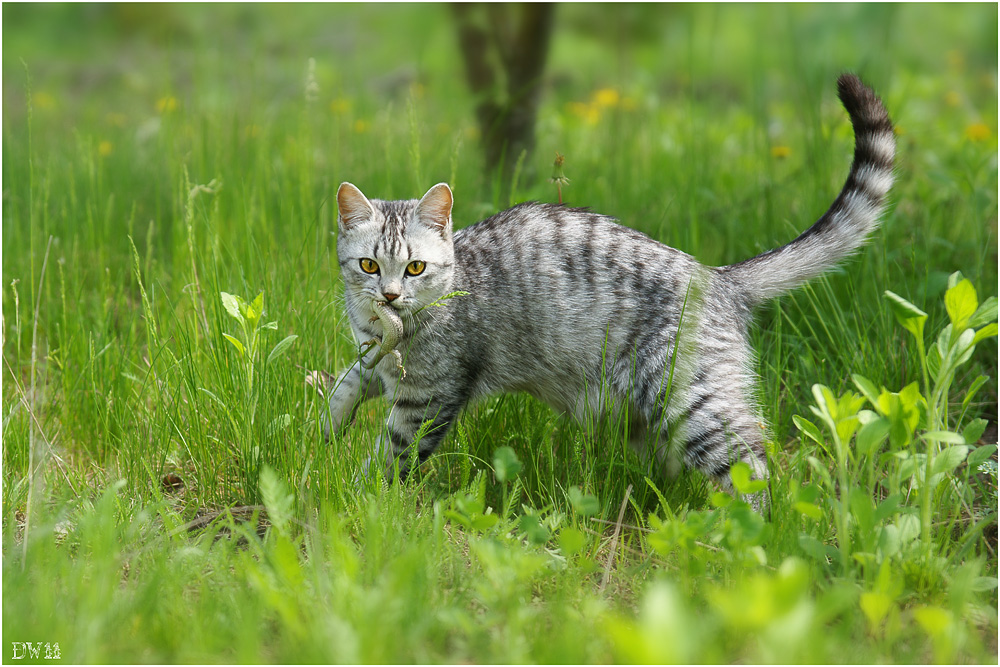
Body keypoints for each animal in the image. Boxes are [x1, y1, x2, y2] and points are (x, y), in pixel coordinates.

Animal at [324, 74, 896, 512]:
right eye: (370, 265)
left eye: (415, 268)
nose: (391, 297)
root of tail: (720, 277)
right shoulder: (372, 359)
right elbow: (346, 385)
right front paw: (328, 428)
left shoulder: (429, 396)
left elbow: (393, 453)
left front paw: (363, 494)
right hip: (652, 421)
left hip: (694, 403)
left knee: (755, 467)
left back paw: (749, 533)